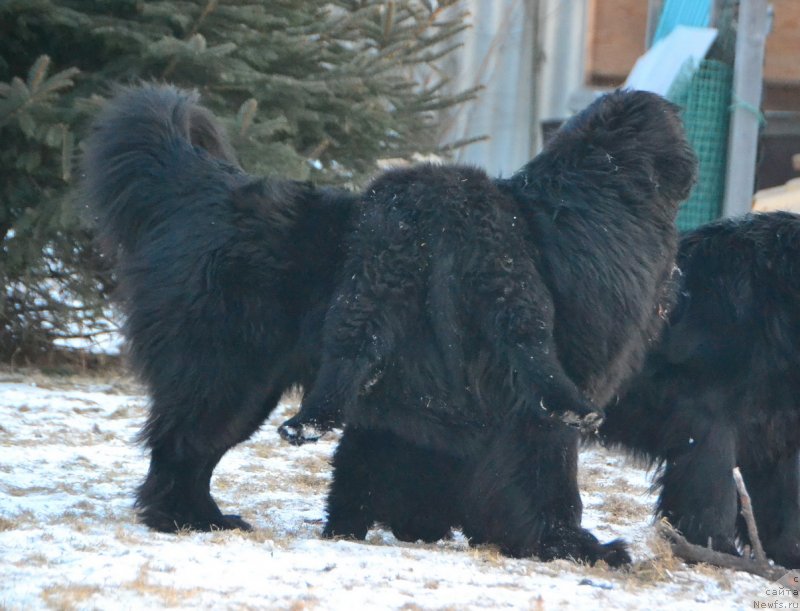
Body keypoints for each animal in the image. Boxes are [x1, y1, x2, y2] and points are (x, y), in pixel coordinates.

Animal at [81, 83, 356, 532]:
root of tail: (202, 187)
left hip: (246, 382)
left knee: (194, 449)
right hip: (227, 372)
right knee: (182, 444)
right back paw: (189, 519)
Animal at [604, 213, 800, 572]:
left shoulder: (773, 429)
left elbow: (783, 501)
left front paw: (788, 555)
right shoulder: (709, 419)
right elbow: (714, 491)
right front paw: (714, 550)